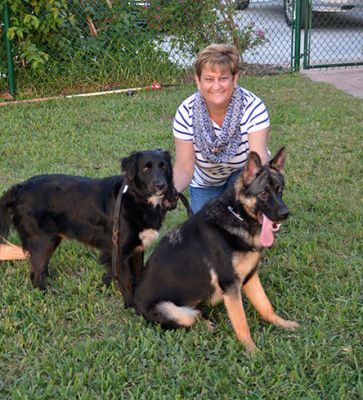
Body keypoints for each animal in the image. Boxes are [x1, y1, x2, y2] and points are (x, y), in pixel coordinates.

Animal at [0, 150, 178, 306]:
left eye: (164, 167)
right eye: (146, 168)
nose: (161, 185)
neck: (137, 199)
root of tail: (20, 188)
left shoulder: (137, 249)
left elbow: (139, 276)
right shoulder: (120, 252)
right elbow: (127, 283)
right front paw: (133, 307)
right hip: (43, 240)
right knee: (35, 273)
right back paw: (46, 294)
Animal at [135, 148, 300, 352]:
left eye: (279, 190)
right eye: (263, 193)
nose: (285, 214)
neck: (237, 216)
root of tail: (134, 302)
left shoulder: (250, 277)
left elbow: (265, 306)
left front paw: (281, 323)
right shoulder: (230, 285)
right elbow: (241, 322)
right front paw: (252, 351)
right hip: (172, 311)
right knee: (192, 318)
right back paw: (206, 325)